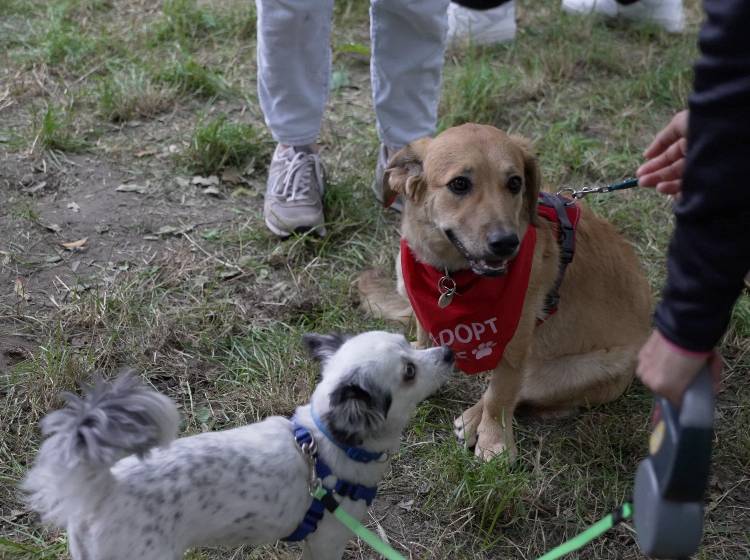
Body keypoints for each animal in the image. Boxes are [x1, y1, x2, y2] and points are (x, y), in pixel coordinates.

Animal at [23, 332, 456, 560]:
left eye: (409, 342)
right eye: (409, 371)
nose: (449, 352)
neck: (325, 444)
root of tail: (104, 489)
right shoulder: (328, 540)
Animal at [358, 123, 652, 460]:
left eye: (515, 183)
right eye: (459, 184)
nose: (506, 243)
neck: (451, 276)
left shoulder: (515, 341)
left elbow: (500, 392)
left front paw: (494, 441)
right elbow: (423, 335)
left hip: (570, 370)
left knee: (517, 391)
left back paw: (474, 419)